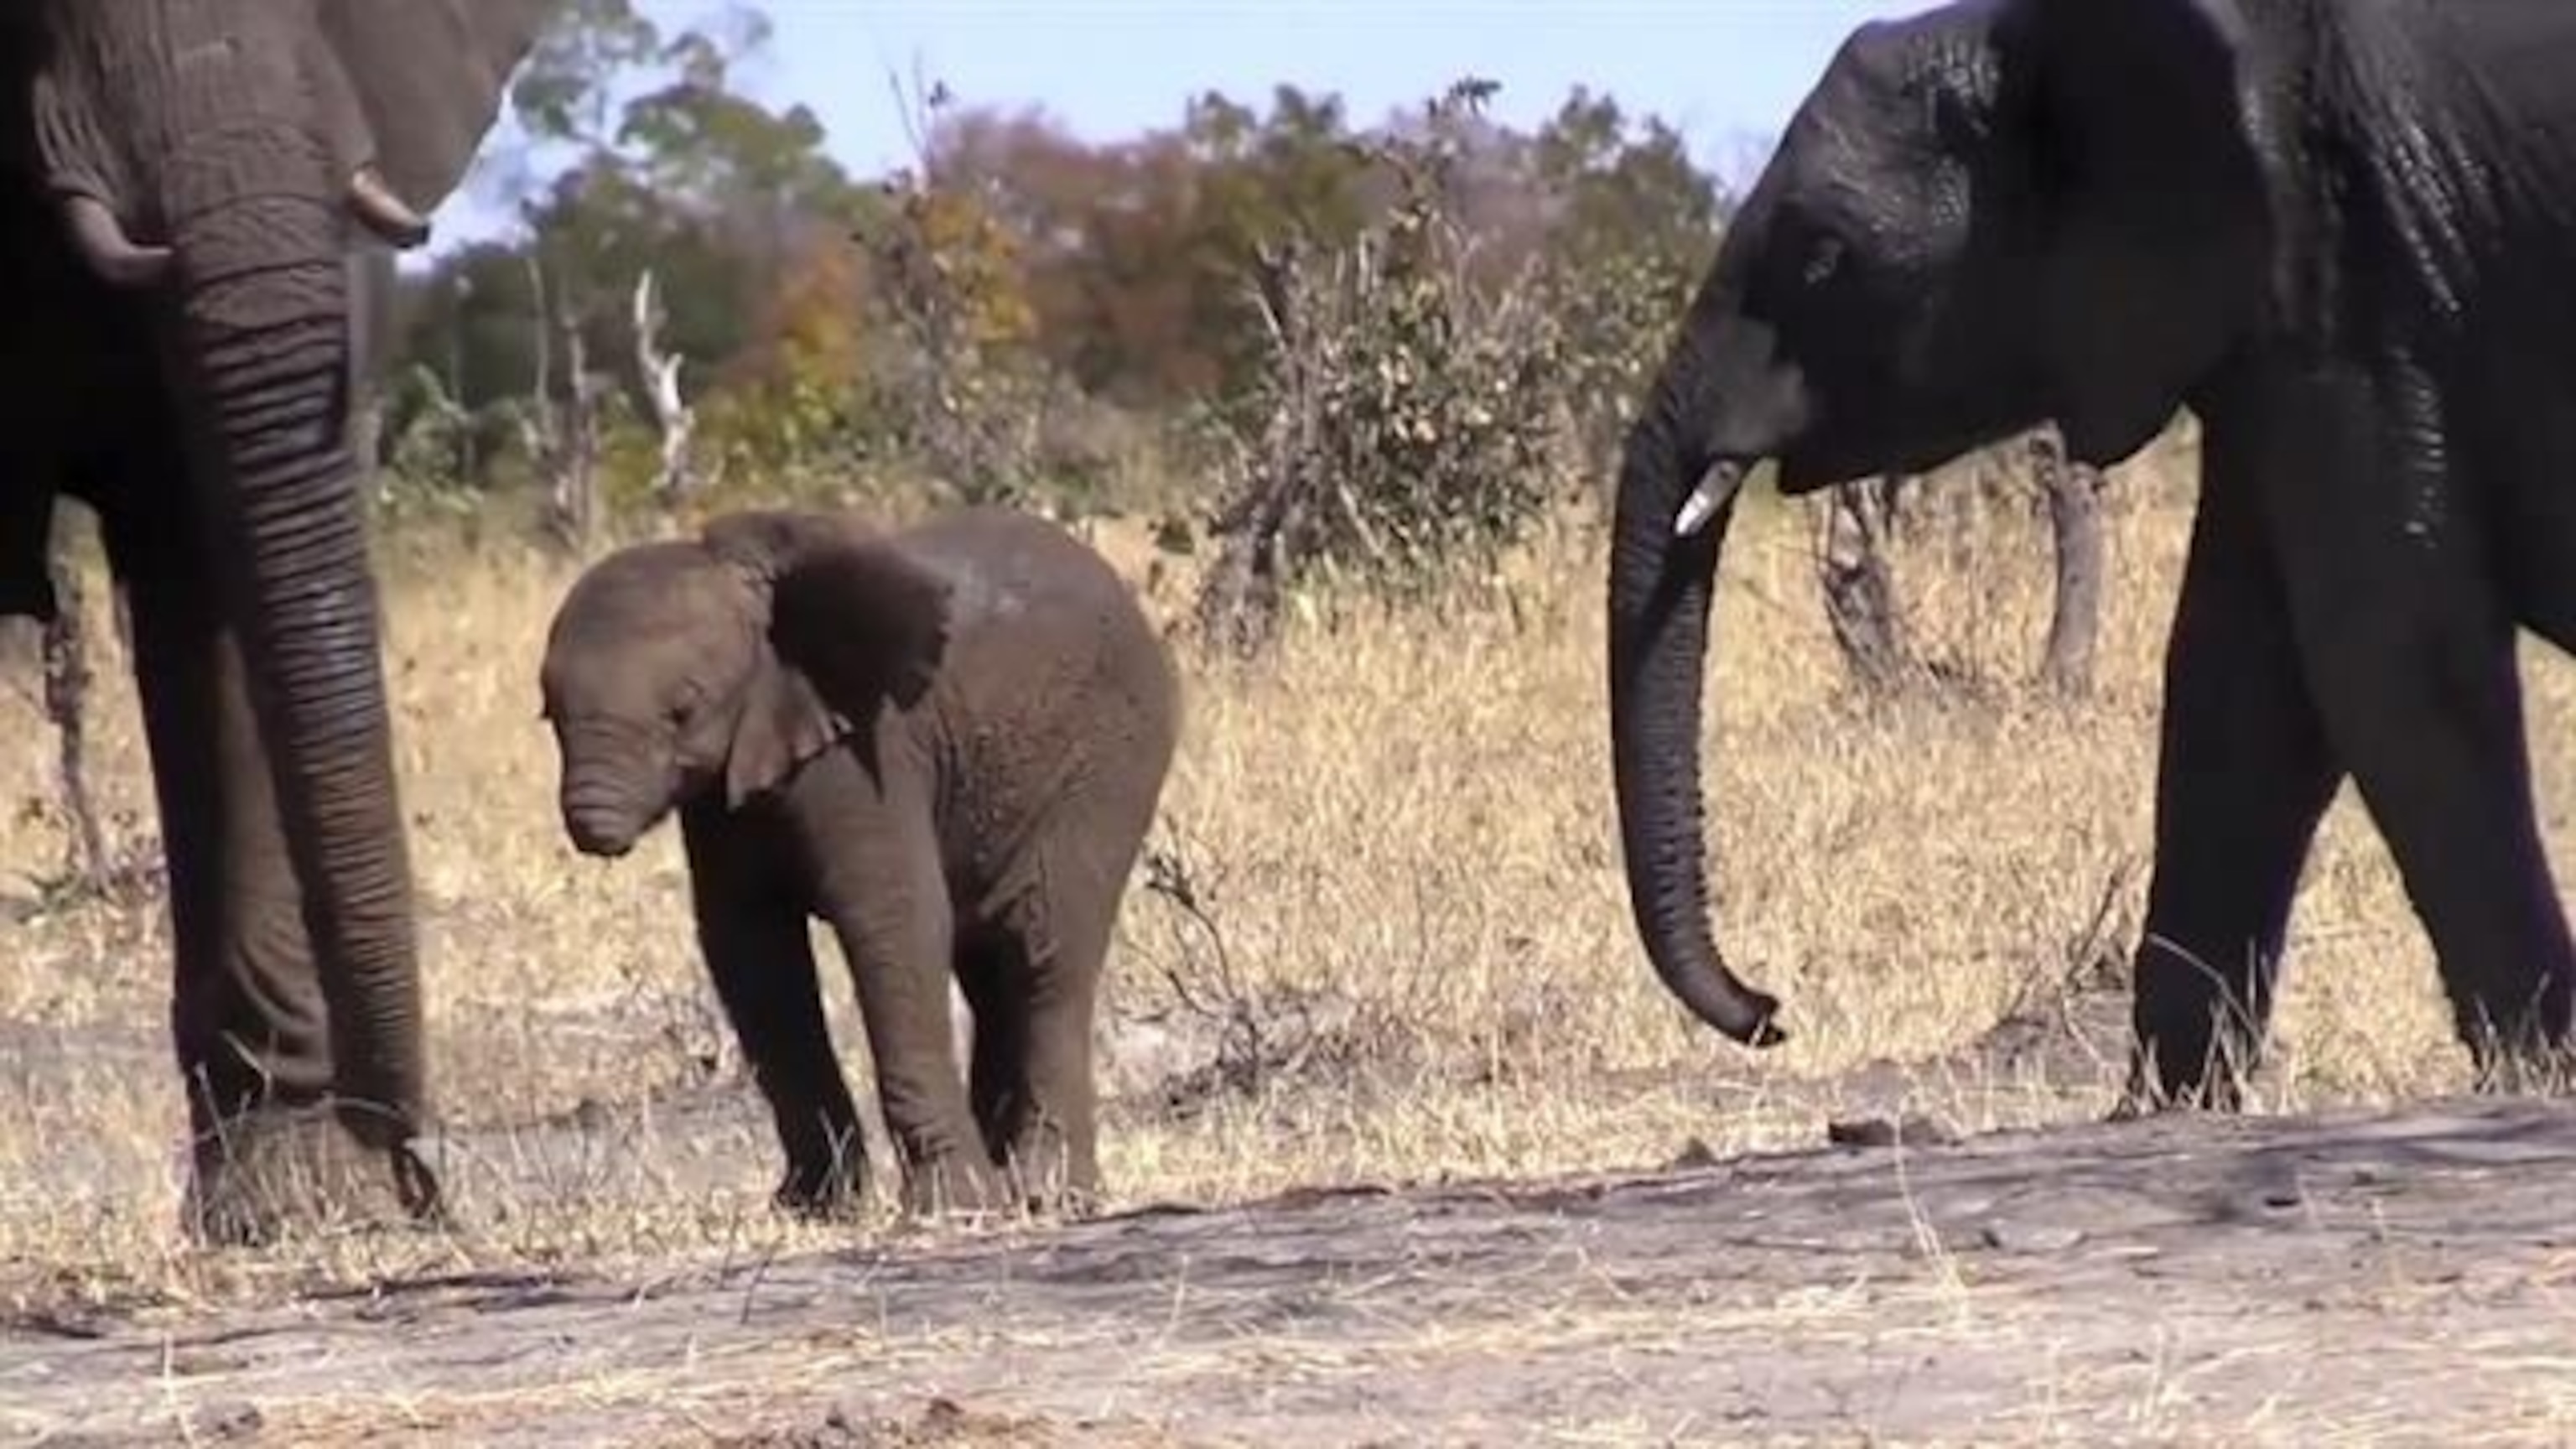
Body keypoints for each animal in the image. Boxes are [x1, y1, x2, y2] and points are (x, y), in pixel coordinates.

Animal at [548, 502, 1190, 1212]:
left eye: (682, 711)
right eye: (548, 713)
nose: (595, 830)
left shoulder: (869, 751)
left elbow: (893, 919)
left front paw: (952, 1206)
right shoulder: (724, 796)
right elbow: (750, 951)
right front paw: (812, 1208)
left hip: (1111, 761)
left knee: (1045, 951)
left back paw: (1048, 1193)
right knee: (992, 967)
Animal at [1618, 0, 2576, 1103]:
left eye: (1822, 255)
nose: (1770, 1013)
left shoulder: (2361, 275)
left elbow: (2388, 660)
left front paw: (2544, 1081)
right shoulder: (2280, 317)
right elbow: (2241, 684)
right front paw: (2165, 1114)